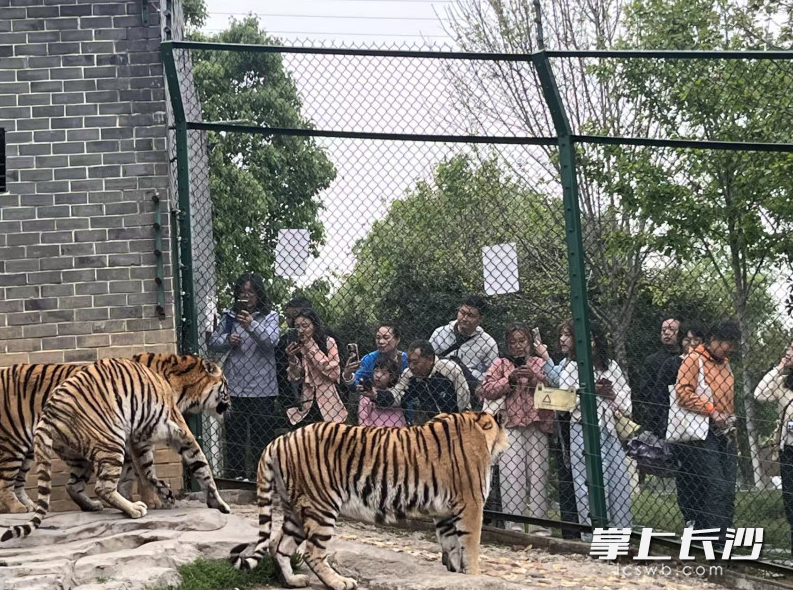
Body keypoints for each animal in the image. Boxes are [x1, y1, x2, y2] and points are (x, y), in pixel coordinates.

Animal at [0, 355, 231, 542]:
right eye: (226, 385)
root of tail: (50, 412)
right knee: (7, 483)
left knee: (64, 485)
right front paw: (158, 501)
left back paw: (81, 505)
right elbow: (190, 466)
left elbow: (135, 475)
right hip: (22, 443)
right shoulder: (153, 435)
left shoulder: (134, 440)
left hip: (53, 452)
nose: (231, 404)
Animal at [229, 411, 509, 590]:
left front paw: (457, 576)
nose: (506, 445)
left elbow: (452, 547)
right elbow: (470, 546)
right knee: (312, 553)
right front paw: (474, 576)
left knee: (278, 545)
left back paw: (293, 581)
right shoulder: (470, 504)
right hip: (321, 506)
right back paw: (339, 583)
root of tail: (279, 440)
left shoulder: (444, 513)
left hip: (296, 510)